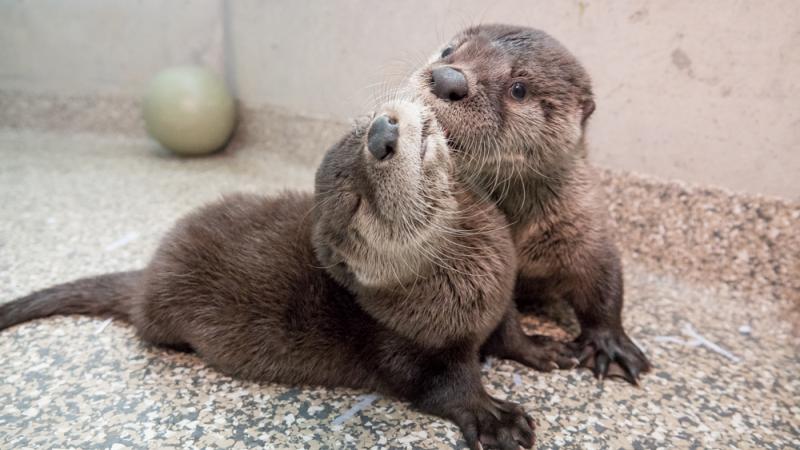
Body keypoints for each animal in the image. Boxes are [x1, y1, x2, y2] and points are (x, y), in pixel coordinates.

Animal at [3, 102, 536, 450]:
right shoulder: (405, 343)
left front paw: (540, 347)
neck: (473, 282)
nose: (381, 134)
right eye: (357, 203)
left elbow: (510, 326)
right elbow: (440, 386)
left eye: (357, 133)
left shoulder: (503, 293)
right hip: (162, 314)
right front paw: (493, 415)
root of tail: (149, 270)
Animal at [412, 24, 648, 384]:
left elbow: (605, 283)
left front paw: (610, 345)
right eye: (448, 50)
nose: (447, 79)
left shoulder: (587, 224)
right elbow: (496, 314)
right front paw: (537, 349)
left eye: (519, 89)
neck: (522, 231)